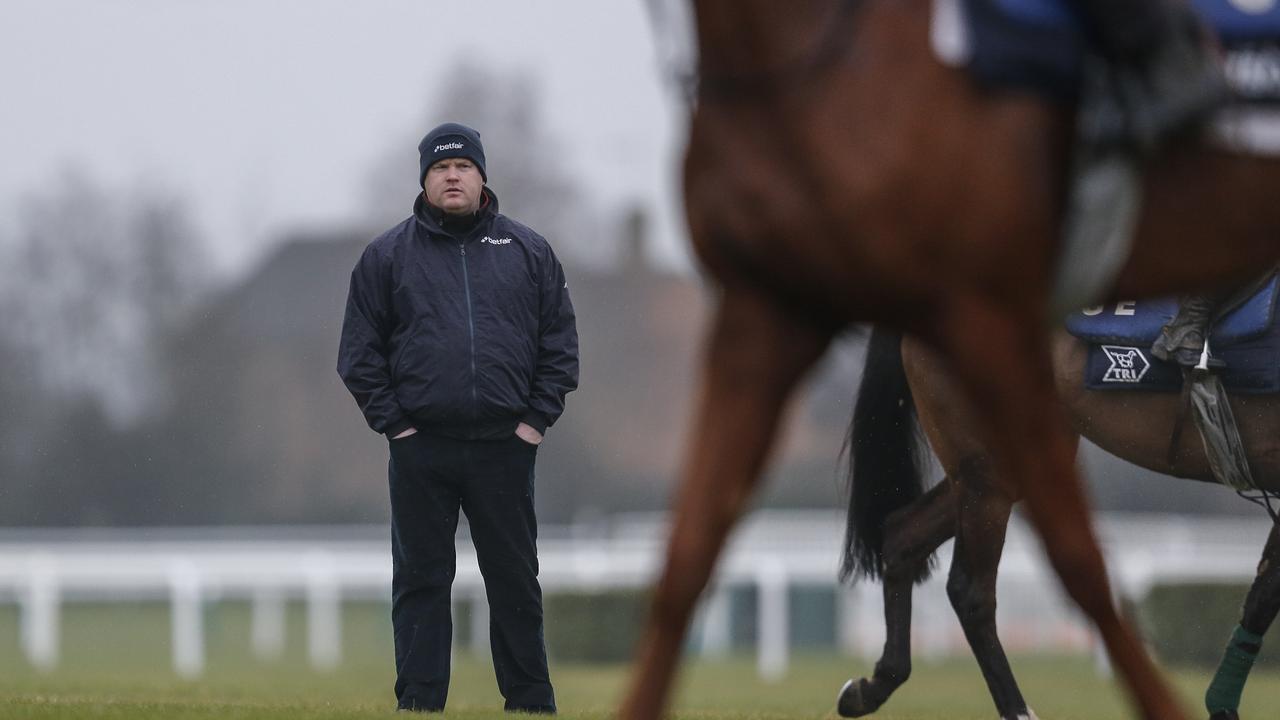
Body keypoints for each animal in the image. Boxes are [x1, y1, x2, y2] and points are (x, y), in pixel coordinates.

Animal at [839, 326, 1280, 717]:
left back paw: (874, 685)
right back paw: (1017, 711)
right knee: (970, 592)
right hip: (988, 470)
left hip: (993, 470)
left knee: (902, 534)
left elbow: (1261, 600)